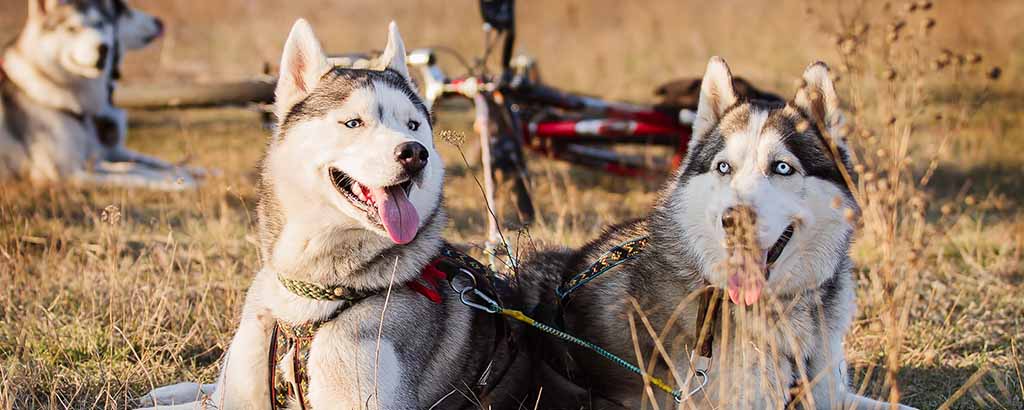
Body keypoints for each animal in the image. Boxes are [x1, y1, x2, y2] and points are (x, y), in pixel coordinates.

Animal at [0, 0, 193, 188]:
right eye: (72, 28)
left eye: (100, 24)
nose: (104, 48)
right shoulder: (64, 173)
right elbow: (135, 176)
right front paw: (181, 183)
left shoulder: (102, 155)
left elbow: (147, 164)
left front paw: (191, 172)